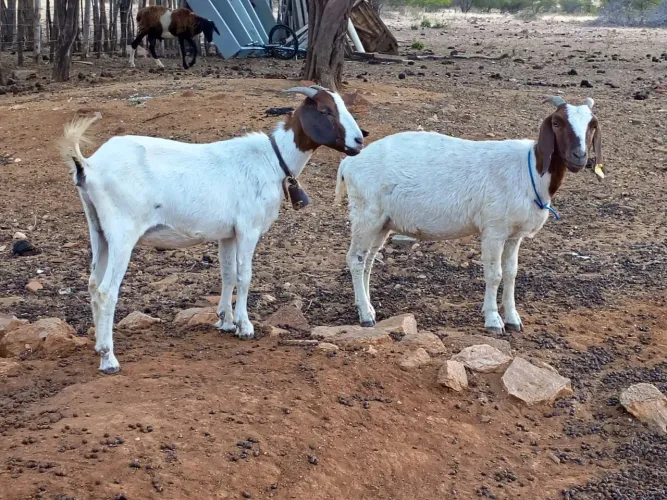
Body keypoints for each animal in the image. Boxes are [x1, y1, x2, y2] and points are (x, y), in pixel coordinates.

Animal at [59, 85, 365, 374]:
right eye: (325, 110)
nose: (359, 140)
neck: (271, 160)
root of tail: (89, 165)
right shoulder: (248, 228)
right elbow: (244, 276)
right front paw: (245, 326)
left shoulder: (227, 234)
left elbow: (227, 274)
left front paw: (225, 321)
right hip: (123, 232)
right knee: (106, 291)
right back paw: (109, 359)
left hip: (99, 230)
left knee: (92, 284)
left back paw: (99, 347)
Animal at [335, 96, 602, 334]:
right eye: (556, 122)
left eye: (591, 125)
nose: (579, 157)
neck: (530, 171)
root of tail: (348, 164)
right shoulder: (494, 230)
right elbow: (494, 275)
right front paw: (493, 321)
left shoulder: (514, 235)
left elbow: (511, 274)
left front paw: (513, 319)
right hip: (365, 214)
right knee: (356, 260)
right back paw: (365, 315)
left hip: (382, 222)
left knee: (368, 261)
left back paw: (368, 306)